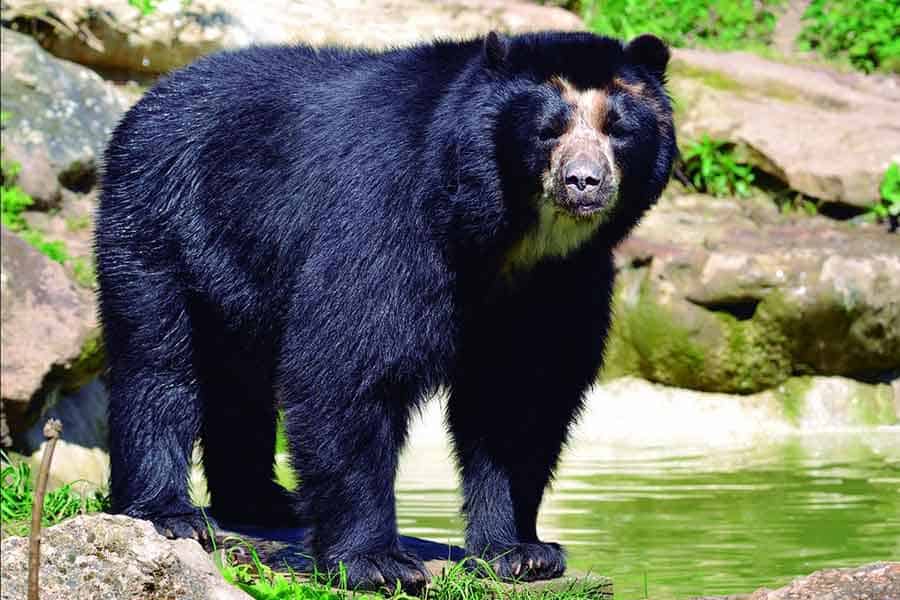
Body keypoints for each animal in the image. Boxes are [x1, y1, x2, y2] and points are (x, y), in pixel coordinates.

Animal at [97, 31, 676, 593]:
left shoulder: (562, 280)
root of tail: (152, 96)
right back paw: (173, 513)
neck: (510, 236)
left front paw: (522, 553)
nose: (584, 182)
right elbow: (350, 366)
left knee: (240, 380)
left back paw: (264, 502)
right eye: (547, 131)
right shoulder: (391, 215)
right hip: (161, 220)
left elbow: (522, 395)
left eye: (618, 130)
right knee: (157, 362)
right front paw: (378, 564)